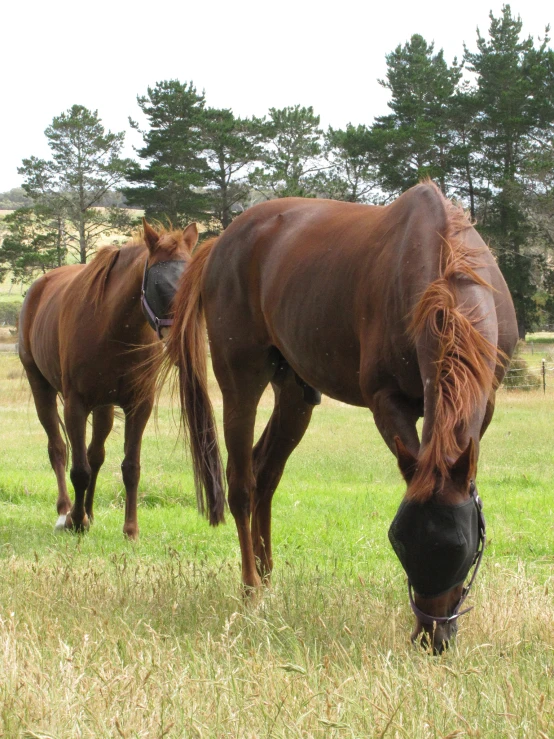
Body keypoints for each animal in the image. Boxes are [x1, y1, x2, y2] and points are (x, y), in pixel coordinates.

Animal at [18, 218, 212, 536]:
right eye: (158, 283)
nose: (184, 340)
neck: (112, 327)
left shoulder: (139, 405)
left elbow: (130, 467)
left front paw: (130, 529)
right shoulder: (76, 404)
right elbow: (79, 469)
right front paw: (75, 520)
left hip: (104, 406)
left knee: (95, 453)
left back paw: (89, 511)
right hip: (41, 387)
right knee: (58, 449)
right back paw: (65, 511)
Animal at [166, 184, 516, 652]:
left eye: (461, 546)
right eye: (400, 543)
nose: (431, 637)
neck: (443, 270)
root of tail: (221, 242)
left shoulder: (484, 404)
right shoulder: (387, 403)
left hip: (295, 394)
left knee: (265, 473)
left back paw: (268, 576)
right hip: (241, 380)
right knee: (241, 485)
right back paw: (252, 589)